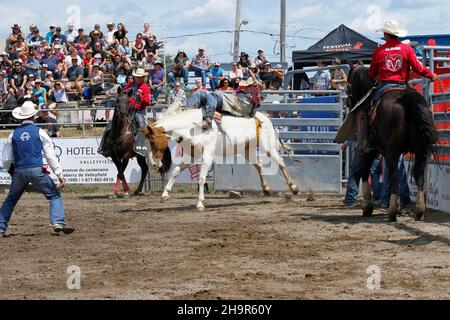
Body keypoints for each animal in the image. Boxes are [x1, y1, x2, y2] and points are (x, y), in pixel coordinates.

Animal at [348, 66, 440, 221]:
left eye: (348, 82)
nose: (349, 103)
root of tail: (406, 99)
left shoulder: (372, 151)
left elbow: (364, 171)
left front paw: (367, 206)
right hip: (421, 151)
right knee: (418, 175)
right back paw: (419, 210)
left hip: (392, 151)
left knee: (394, 176)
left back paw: (392, 212)